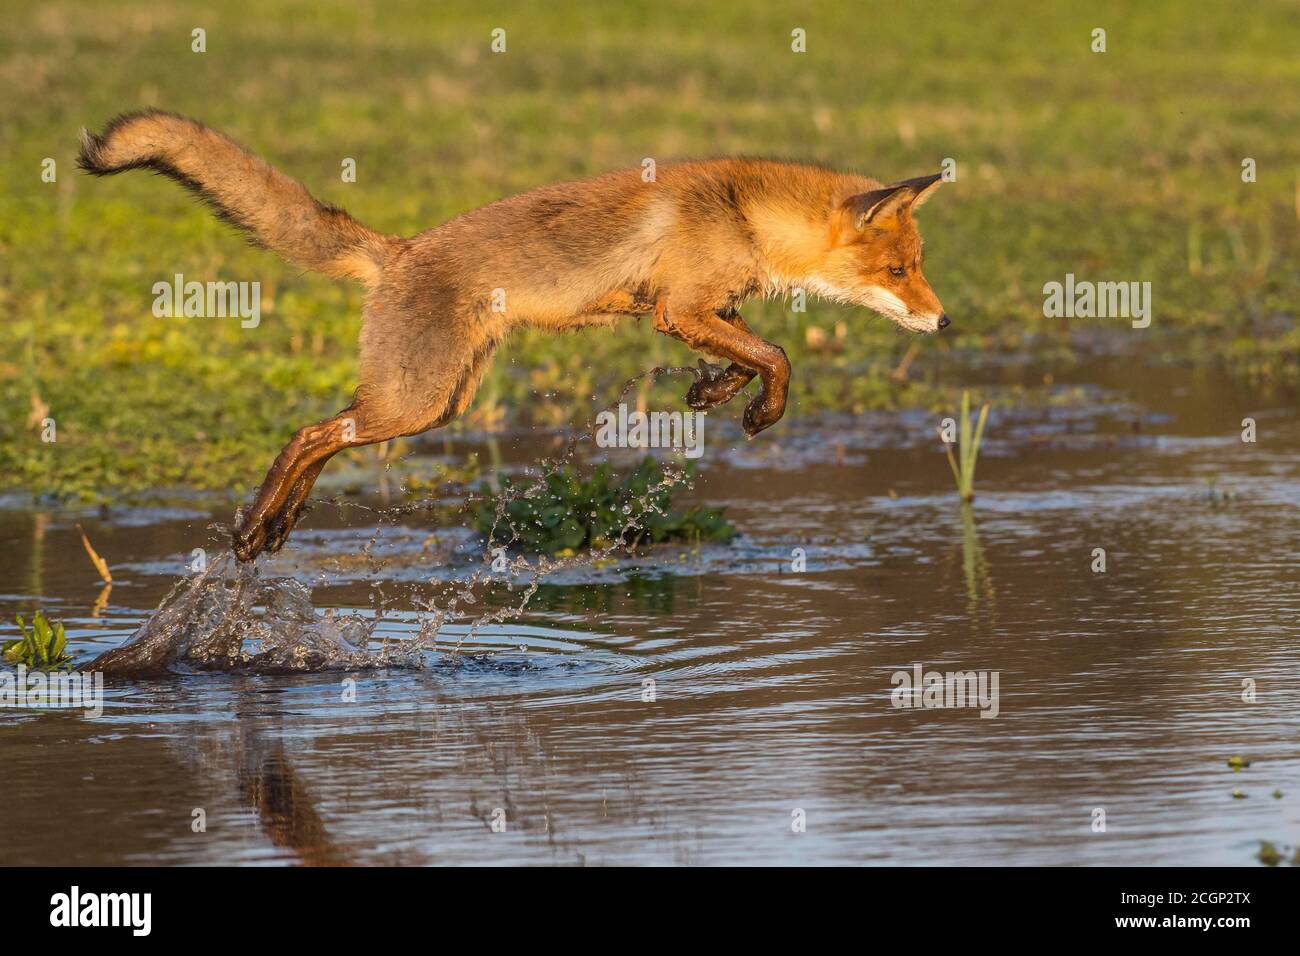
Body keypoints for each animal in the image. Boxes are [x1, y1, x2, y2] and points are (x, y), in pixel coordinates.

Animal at [83, 111, 956, 561]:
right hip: (414, 402)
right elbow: (777, 357)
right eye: (902, 269)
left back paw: (278, 524)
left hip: (437, 403)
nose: (946, 320)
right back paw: (258, 523)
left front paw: (713, 392)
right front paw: (761, 411)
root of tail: (397, 250)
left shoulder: (690, 310)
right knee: (308, 433)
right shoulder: (681, 309)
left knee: (327, 432)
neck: (744, 213)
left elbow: (747, 356)